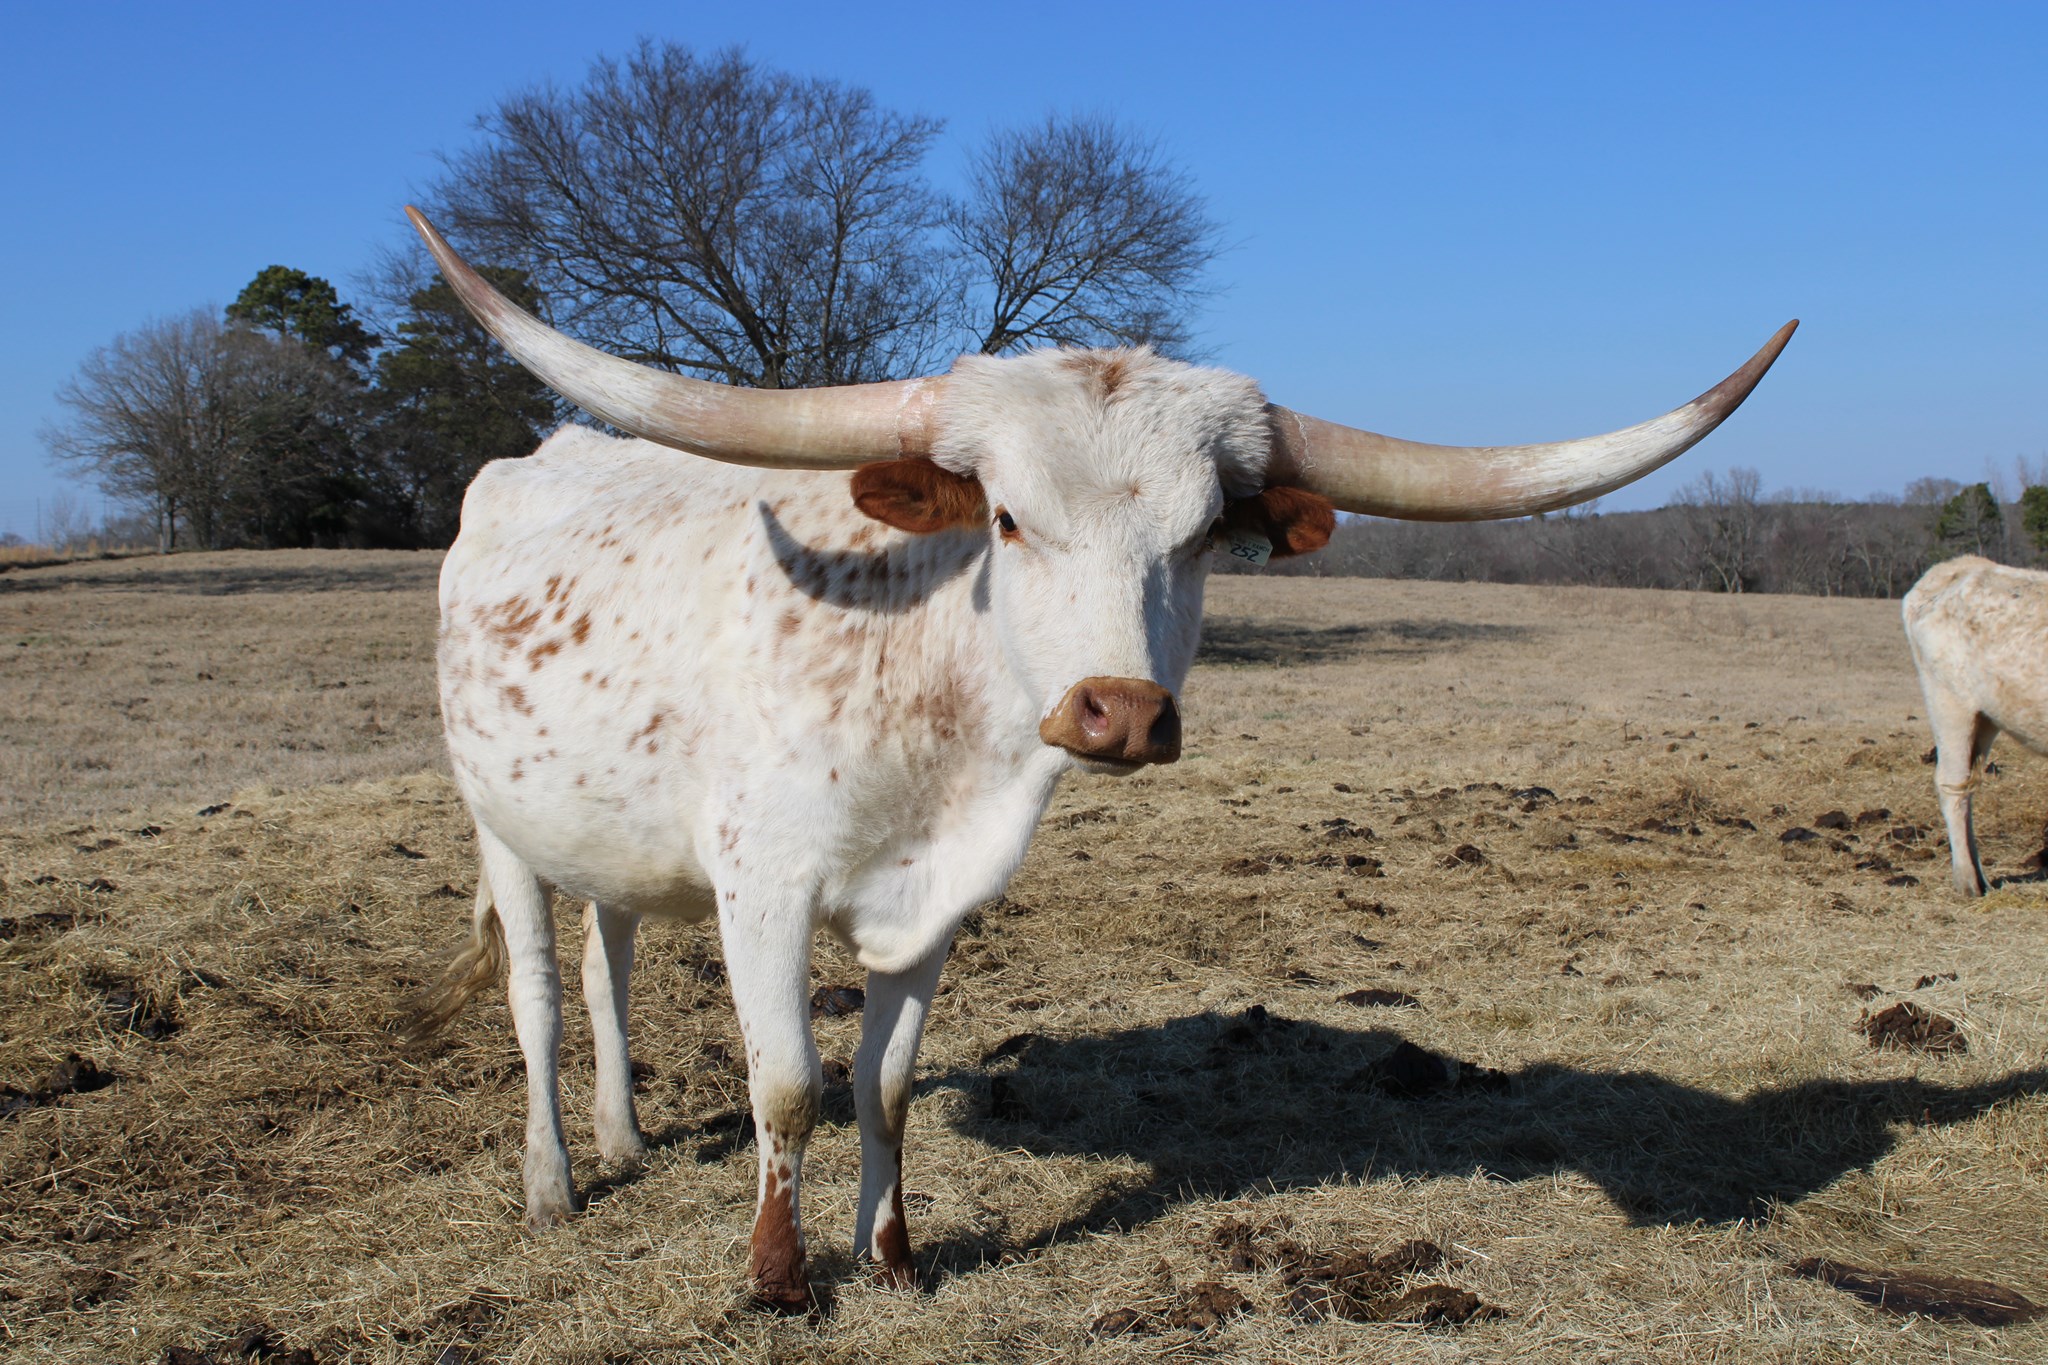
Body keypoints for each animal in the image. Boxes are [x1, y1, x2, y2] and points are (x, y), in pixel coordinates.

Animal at [399, 206, 1794, 1309]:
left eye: (1204, 538)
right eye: (1008, 520)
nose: (1118, 712)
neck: (917, 694)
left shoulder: (933, 903)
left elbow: (883, 1088)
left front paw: (892, 1262)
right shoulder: (764, 884)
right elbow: (789, 1084)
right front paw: (779, 1284)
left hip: (607, 831)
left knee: (607, 962)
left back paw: (623, 1140)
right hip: (495, 822)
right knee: (535, 988)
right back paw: (551, 1181)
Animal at [1903, 555, 2048, 896]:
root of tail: (1958, 565)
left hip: (1984, 718)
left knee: (1966, 786)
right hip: (1950, 703)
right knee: (1951, 784)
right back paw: (1968, 881)